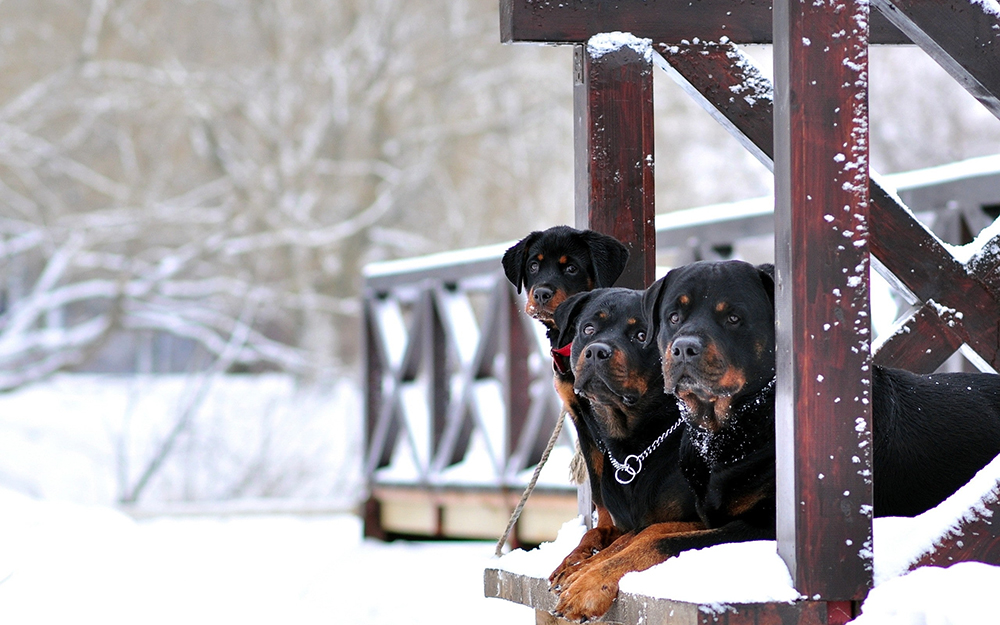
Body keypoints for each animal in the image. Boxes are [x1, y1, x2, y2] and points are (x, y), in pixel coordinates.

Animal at [548, 286, 704, 620]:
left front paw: (586, 582)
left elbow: (642, 539)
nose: (596, 350)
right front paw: (575, 562)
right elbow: (605, 535)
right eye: (588, 329)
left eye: (641, 335)